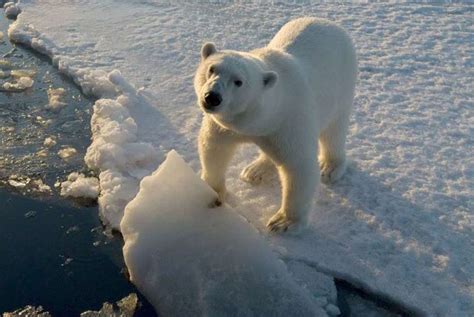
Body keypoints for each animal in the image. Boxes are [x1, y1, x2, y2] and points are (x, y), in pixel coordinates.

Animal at [193, 17, 356, 231]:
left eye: (238, 82)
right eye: (212, 69)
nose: (212, 97)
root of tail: (330, 23)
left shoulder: (289, 122)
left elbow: (299, 167)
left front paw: (283, 222)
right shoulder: (226, 126)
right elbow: (214, 148)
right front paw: (211, 192)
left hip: (342, 84)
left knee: (334, 130)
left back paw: (330, 167)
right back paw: (255, 170)